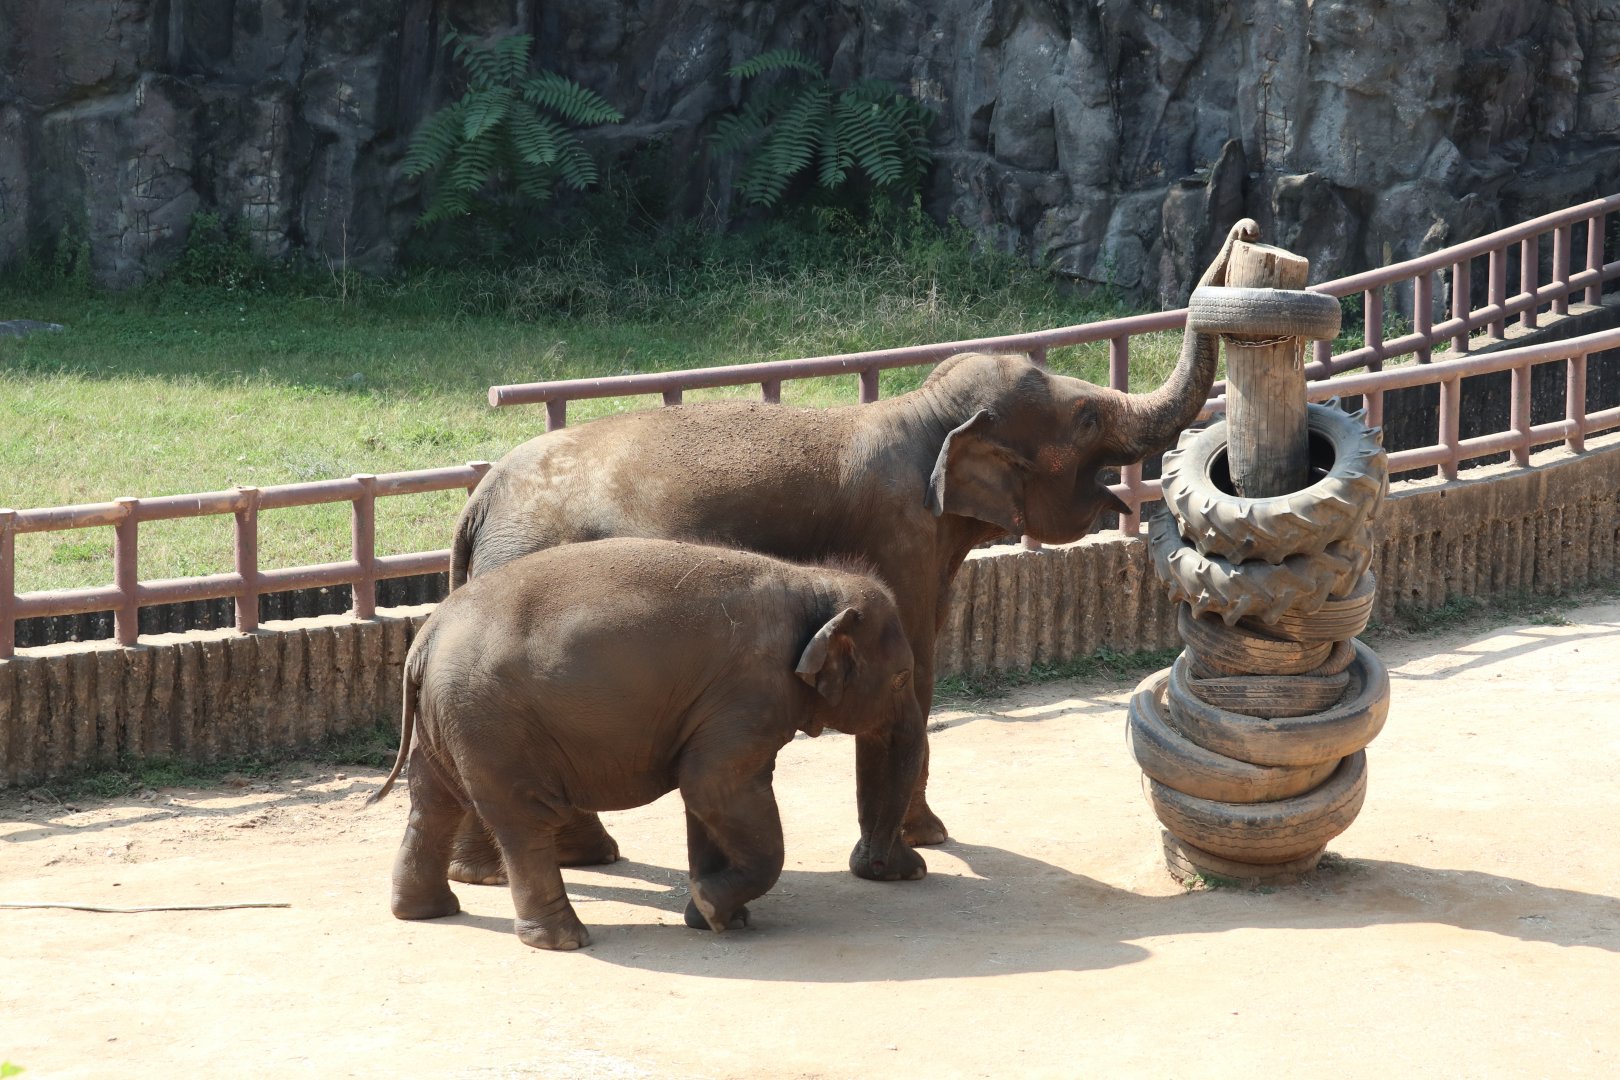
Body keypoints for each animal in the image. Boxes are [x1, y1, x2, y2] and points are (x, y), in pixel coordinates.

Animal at [370, 537, 927, 951]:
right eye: (901, 679)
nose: (900, 870)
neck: (815, 584)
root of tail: (427, 633)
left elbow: (705, 798)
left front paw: (716, 917)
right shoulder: (750, 691)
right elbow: (712, 786)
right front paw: (712, 908)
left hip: (449, 718)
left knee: (434, 802)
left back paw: (424, 913)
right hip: (492, 722)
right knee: (524, 819)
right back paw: (566, 941)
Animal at [442, 218, 1261, 885]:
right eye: (1088, 417)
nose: (1246, 227)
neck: (920, 413)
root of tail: (479, 501)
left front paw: (925, 837)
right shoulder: (899, 533)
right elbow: (917, 671)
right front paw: (923, 845)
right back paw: (550, 861)